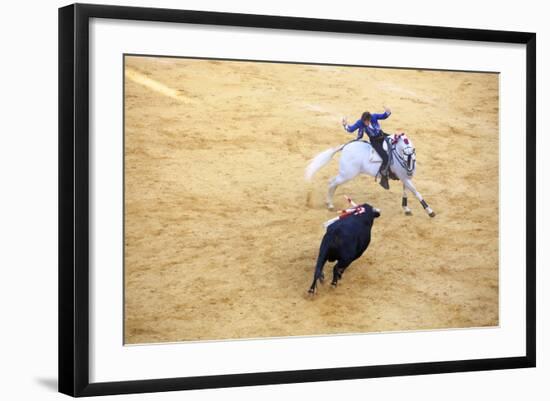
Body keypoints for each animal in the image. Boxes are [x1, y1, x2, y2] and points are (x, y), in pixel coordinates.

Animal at [306, 134, 436, 216]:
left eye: (413, 157)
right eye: (404, 156)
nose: (410, 171)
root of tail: (345, 146)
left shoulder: (405, 178)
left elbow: (406, 192)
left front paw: (406, 209)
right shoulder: (404, 177)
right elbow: (415, 192)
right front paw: (430, 211)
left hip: (345, 174)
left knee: (334, 184)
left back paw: (329, 203)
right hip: (347, 174)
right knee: (332, 182)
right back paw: (329, 204)